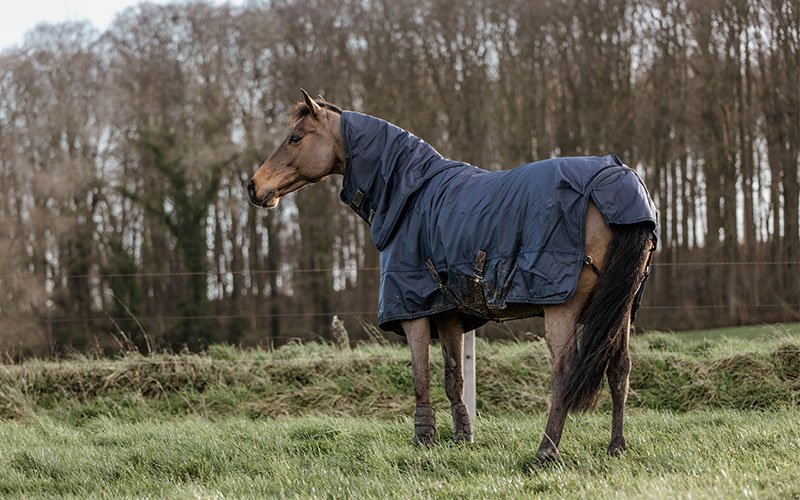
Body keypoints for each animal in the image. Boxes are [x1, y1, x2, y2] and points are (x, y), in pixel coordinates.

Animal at [248, 91, 656, 460]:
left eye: (295, 137)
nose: (254, 186)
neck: (410, 195)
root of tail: (615, 177)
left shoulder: (412, 313)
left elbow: (421, 379)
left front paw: (424, 440)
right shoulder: (448, 315)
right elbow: (453, 378)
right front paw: (462, 439)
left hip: (563, 307)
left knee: (564, 371)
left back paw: (546, 451)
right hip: (620, 310)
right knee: (620, 367)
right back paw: (616, 447)